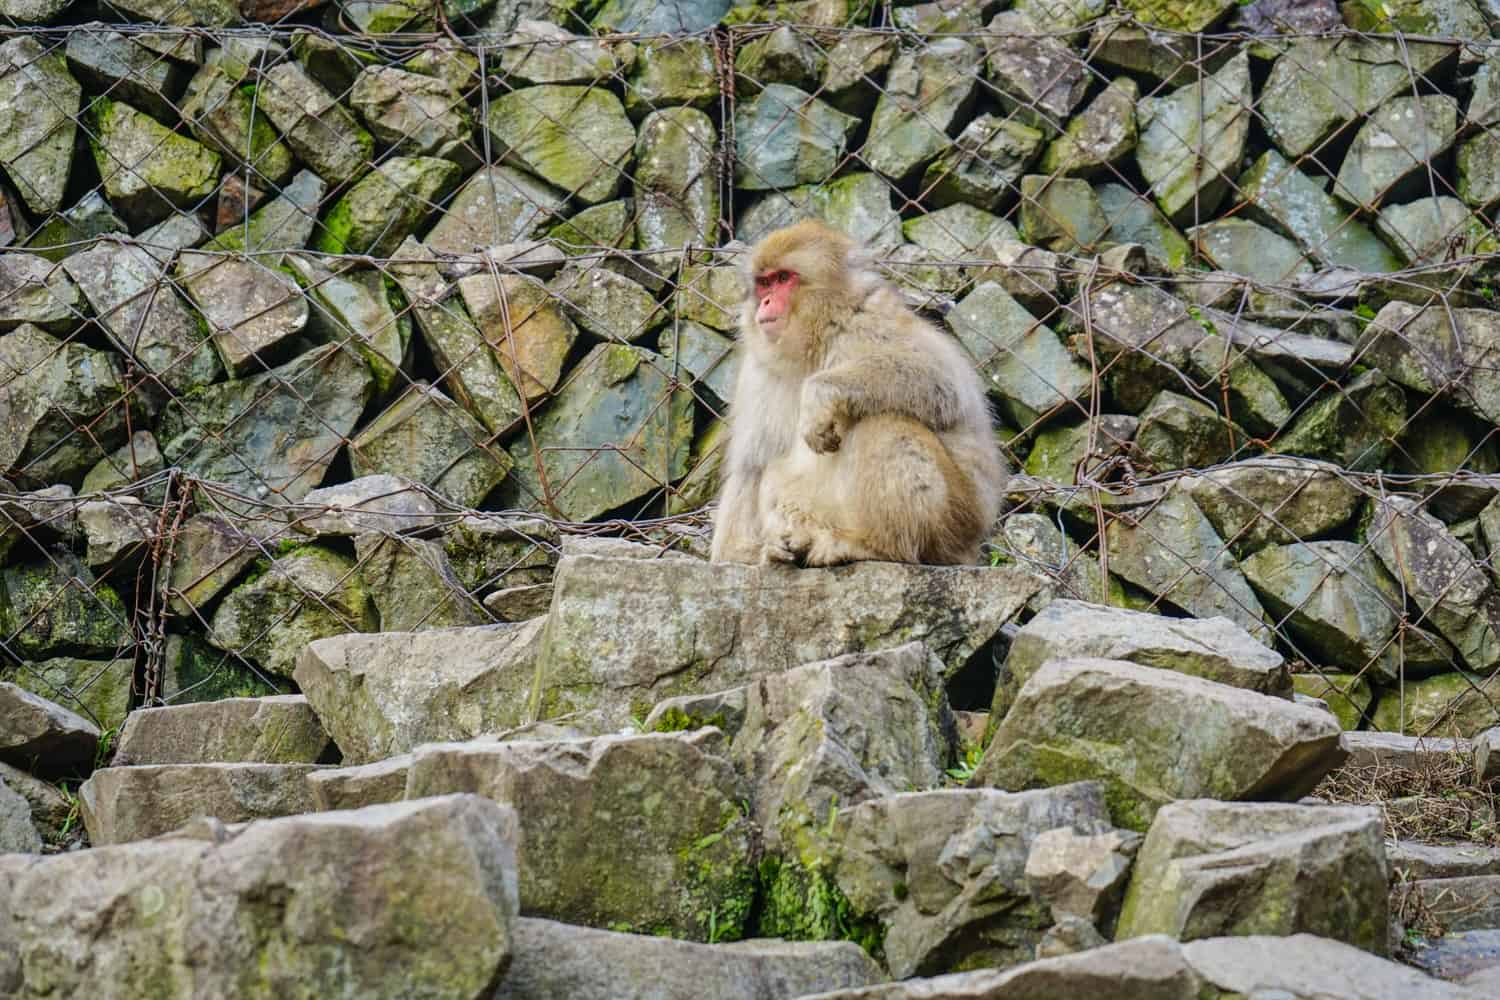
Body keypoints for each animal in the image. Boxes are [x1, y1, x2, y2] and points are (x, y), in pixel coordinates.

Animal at [711, 221, 1008, 566]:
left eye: (784, 278)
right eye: (764, 283)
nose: (766, 302)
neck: (815, 341)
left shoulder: (867, 325)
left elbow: (941, 382)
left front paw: (819, 395)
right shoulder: (758, 371)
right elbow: (753, 464)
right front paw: (745, 552)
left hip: (956, 522)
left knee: (884, 423)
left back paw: (877, 546)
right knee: (774, 473)